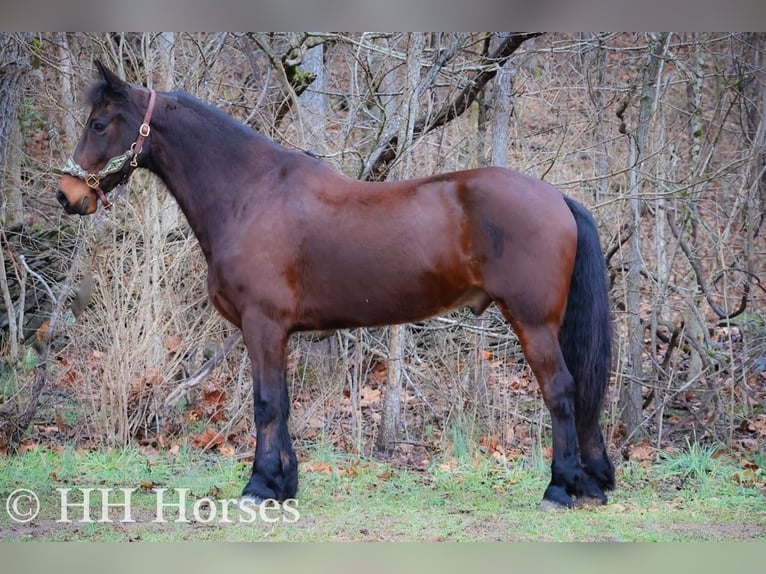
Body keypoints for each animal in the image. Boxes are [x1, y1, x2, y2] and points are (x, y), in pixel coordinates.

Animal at [57, 60, 614, 510]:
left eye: (99, 123)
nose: (66, 195)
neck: (250, 193)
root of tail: (558, 198)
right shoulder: (276, 332)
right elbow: (281, 402)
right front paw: (284, 486)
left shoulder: (263, 324)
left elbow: (266, 402)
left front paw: (259, 487)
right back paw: (590, 483)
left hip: (532, 322)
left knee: (561, 391)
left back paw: (559, 489)